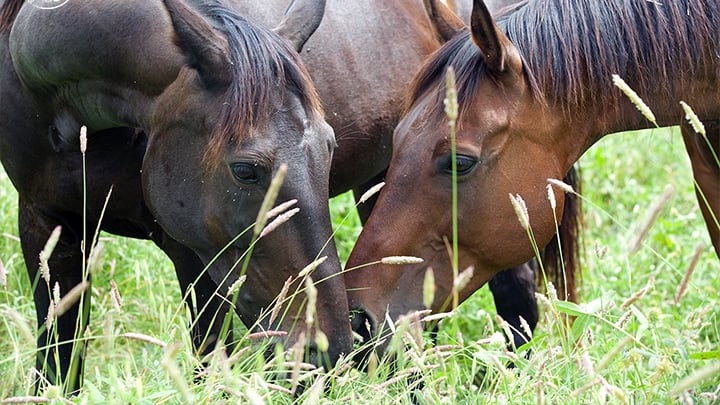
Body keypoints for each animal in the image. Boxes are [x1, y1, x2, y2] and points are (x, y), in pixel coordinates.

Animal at [0, 0, 353, 393]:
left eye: (330, 146)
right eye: (246, 170)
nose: (328, 351)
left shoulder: (192, 254)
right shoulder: (44, 221)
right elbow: (58, 356)